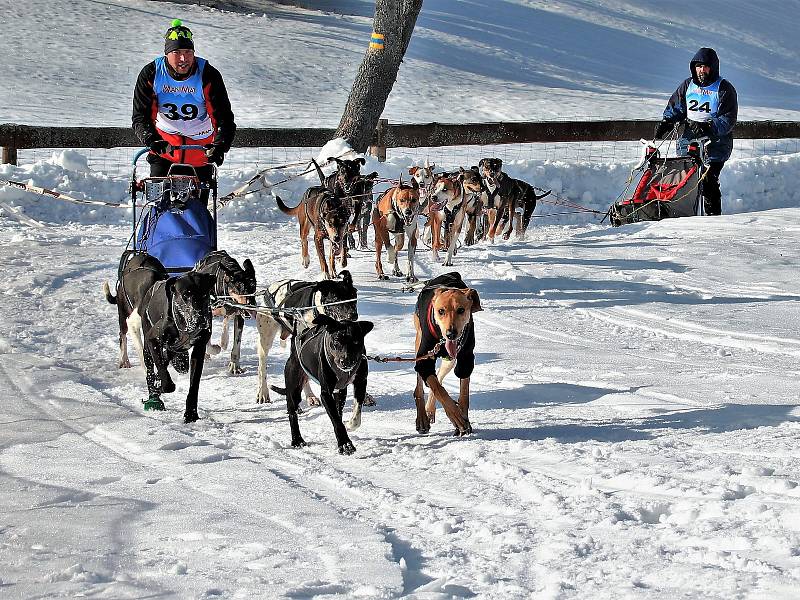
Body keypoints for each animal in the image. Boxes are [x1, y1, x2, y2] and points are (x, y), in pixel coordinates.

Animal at [276, 314, 376, 454]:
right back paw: (297, 440)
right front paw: (345, 444)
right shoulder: (326, 394)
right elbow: (337, 422)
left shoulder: (360, 384)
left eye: (356, 342)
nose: (346, 361)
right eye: (336, 341)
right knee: (292, 413)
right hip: (294, 387)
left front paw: (348, 425)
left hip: (341, 392)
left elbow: (354, 416)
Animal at [412, 272, 482, 436]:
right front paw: (456, 416)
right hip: (419, 344)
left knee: (439, 376)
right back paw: (422, 418)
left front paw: (463, 418)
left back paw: (430, 409)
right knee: (420, 386)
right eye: (441, 311)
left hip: (450, 360)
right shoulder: (424, 359)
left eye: (461, 310)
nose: (451, 333)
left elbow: (464, 394)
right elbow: (438, 389)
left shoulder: (465, 358)